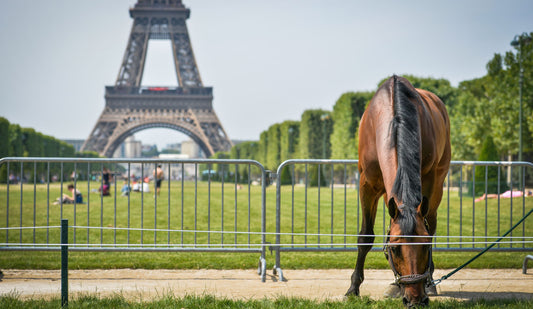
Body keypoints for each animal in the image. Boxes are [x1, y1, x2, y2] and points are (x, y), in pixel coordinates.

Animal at [344, 74, 448, 306]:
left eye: (425, 247)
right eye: (394, 249)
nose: (415, 299)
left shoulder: (427, 180)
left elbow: (428, 228)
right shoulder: (367, 184)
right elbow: (365, 236)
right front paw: (353, 288)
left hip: (438, 181)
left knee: (432, 220)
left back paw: (429, 282)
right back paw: (395, 285)